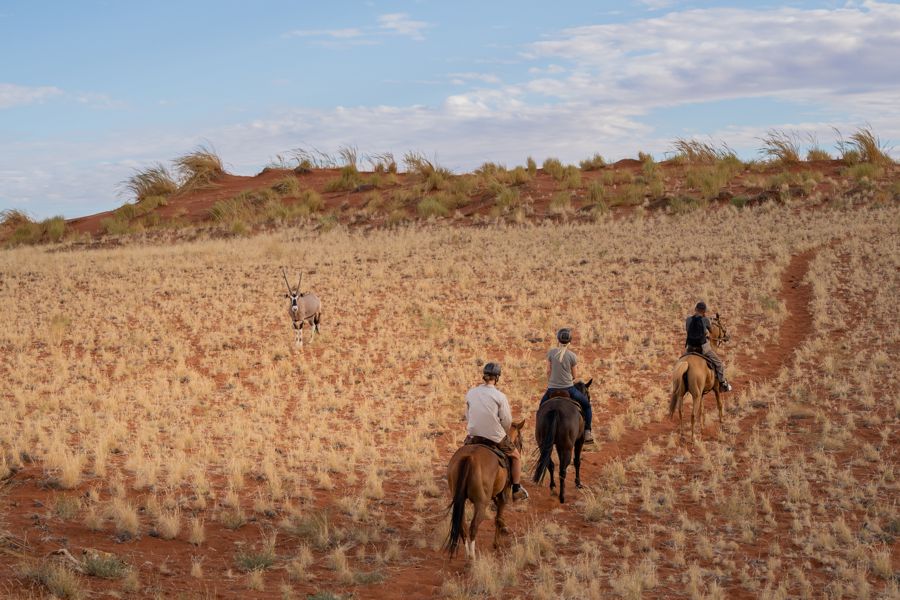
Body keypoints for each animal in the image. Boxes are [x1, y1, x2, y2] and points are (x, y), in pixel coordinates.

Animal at [444, 420, 528, 560]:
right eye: (520, 441)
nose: (519, 451)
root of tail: (469, 457)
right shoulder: (504, 494)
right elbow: (498, 518)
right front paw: (497, 544)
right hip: (481, 503)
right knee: (473, 527)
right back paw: (472, 557)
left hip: (459, 499)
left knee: (462, 525)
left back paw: (467, 553)